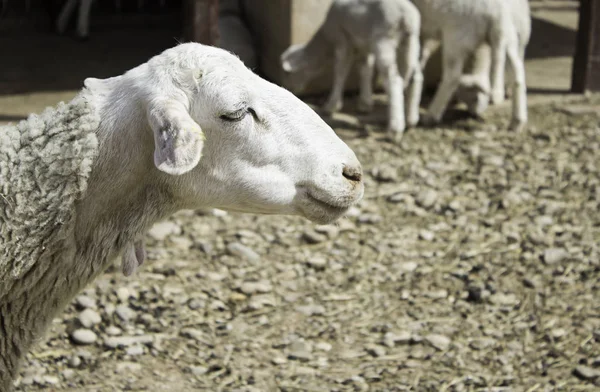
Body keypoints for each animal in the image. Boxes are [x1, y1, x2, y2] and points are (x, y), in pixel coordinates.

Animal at [280, 0, 422, 143]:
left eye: (288, 74)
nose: (289, 88)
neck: (325, 40)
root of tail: (407, 16)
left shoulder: (342, 40)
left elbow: (341, 71)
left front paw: (331, 105)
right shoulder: (364, 46)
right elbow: (366, 70)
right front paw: (365, 103)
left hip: (383, 39)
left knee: (394, 80)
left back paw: (395, 129)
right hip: (411, 42)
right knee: (416, 76)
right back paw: (411, 119)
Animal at [412, 0, 528, 132]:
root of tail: (498, 14)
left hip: (456, 37)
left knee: (452, 77)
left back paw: (431, 116)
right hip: (509, 38)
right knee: (517, 74)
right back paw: (517, 121)